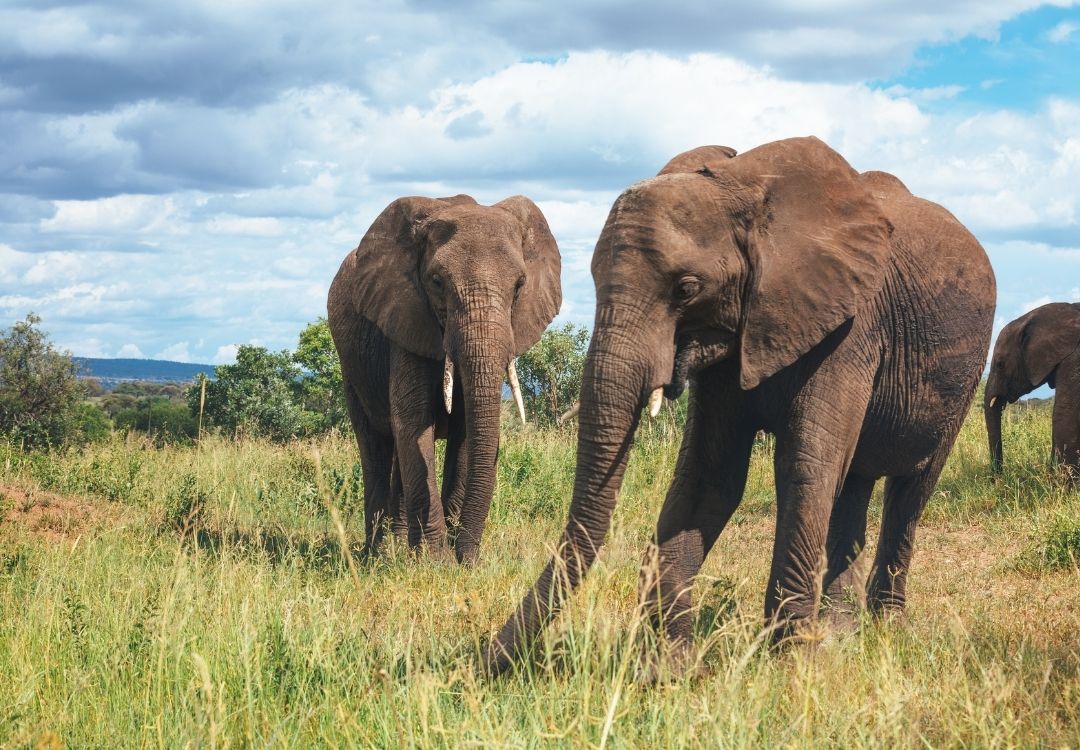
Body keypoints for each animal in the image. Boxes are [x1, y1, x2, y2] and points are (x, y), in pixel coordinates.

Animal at [327, 194, 561, 563]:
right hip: (351, 366)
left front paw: (450, 557)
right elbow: (413, 423)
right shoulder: (404, 318)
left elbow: (465, 431)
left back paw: (398, 547)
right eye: (437, 282)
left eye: (519, 286)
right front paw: (435, 560)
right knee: (375, 445)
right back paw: (376, 555)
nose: (469, 558)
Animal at [483, 137, 996, 676]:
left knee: (909, 491)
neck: (745, 191)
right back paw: (840, 633)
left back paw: (884, 627)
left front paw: (788, 667)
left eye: (687, 288)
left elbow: (805, 468)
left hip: (963, 376)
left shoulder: (852, 329)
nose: (488, 660)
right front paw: (670, 669)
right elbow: (710, 478)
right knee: (854, 484)